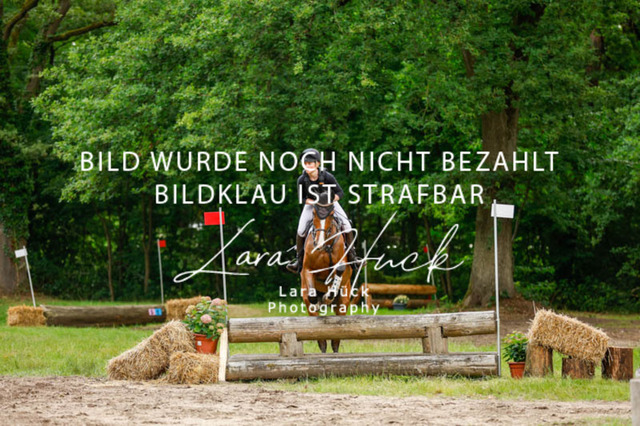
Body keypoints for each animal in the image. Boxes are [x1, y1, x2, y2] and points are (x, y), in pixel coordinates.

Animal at [300, 192, 360, 353]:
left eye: (332, 214)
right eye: (314, 213)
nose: (320, 243)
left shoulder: (342, 267)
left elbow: (339, 271)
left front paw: (328, 296)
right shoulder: (307, 270)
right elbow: (312, 294)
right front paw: (319, 301)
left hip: (343, 302)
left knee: (335, 341)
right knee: (322, 341)